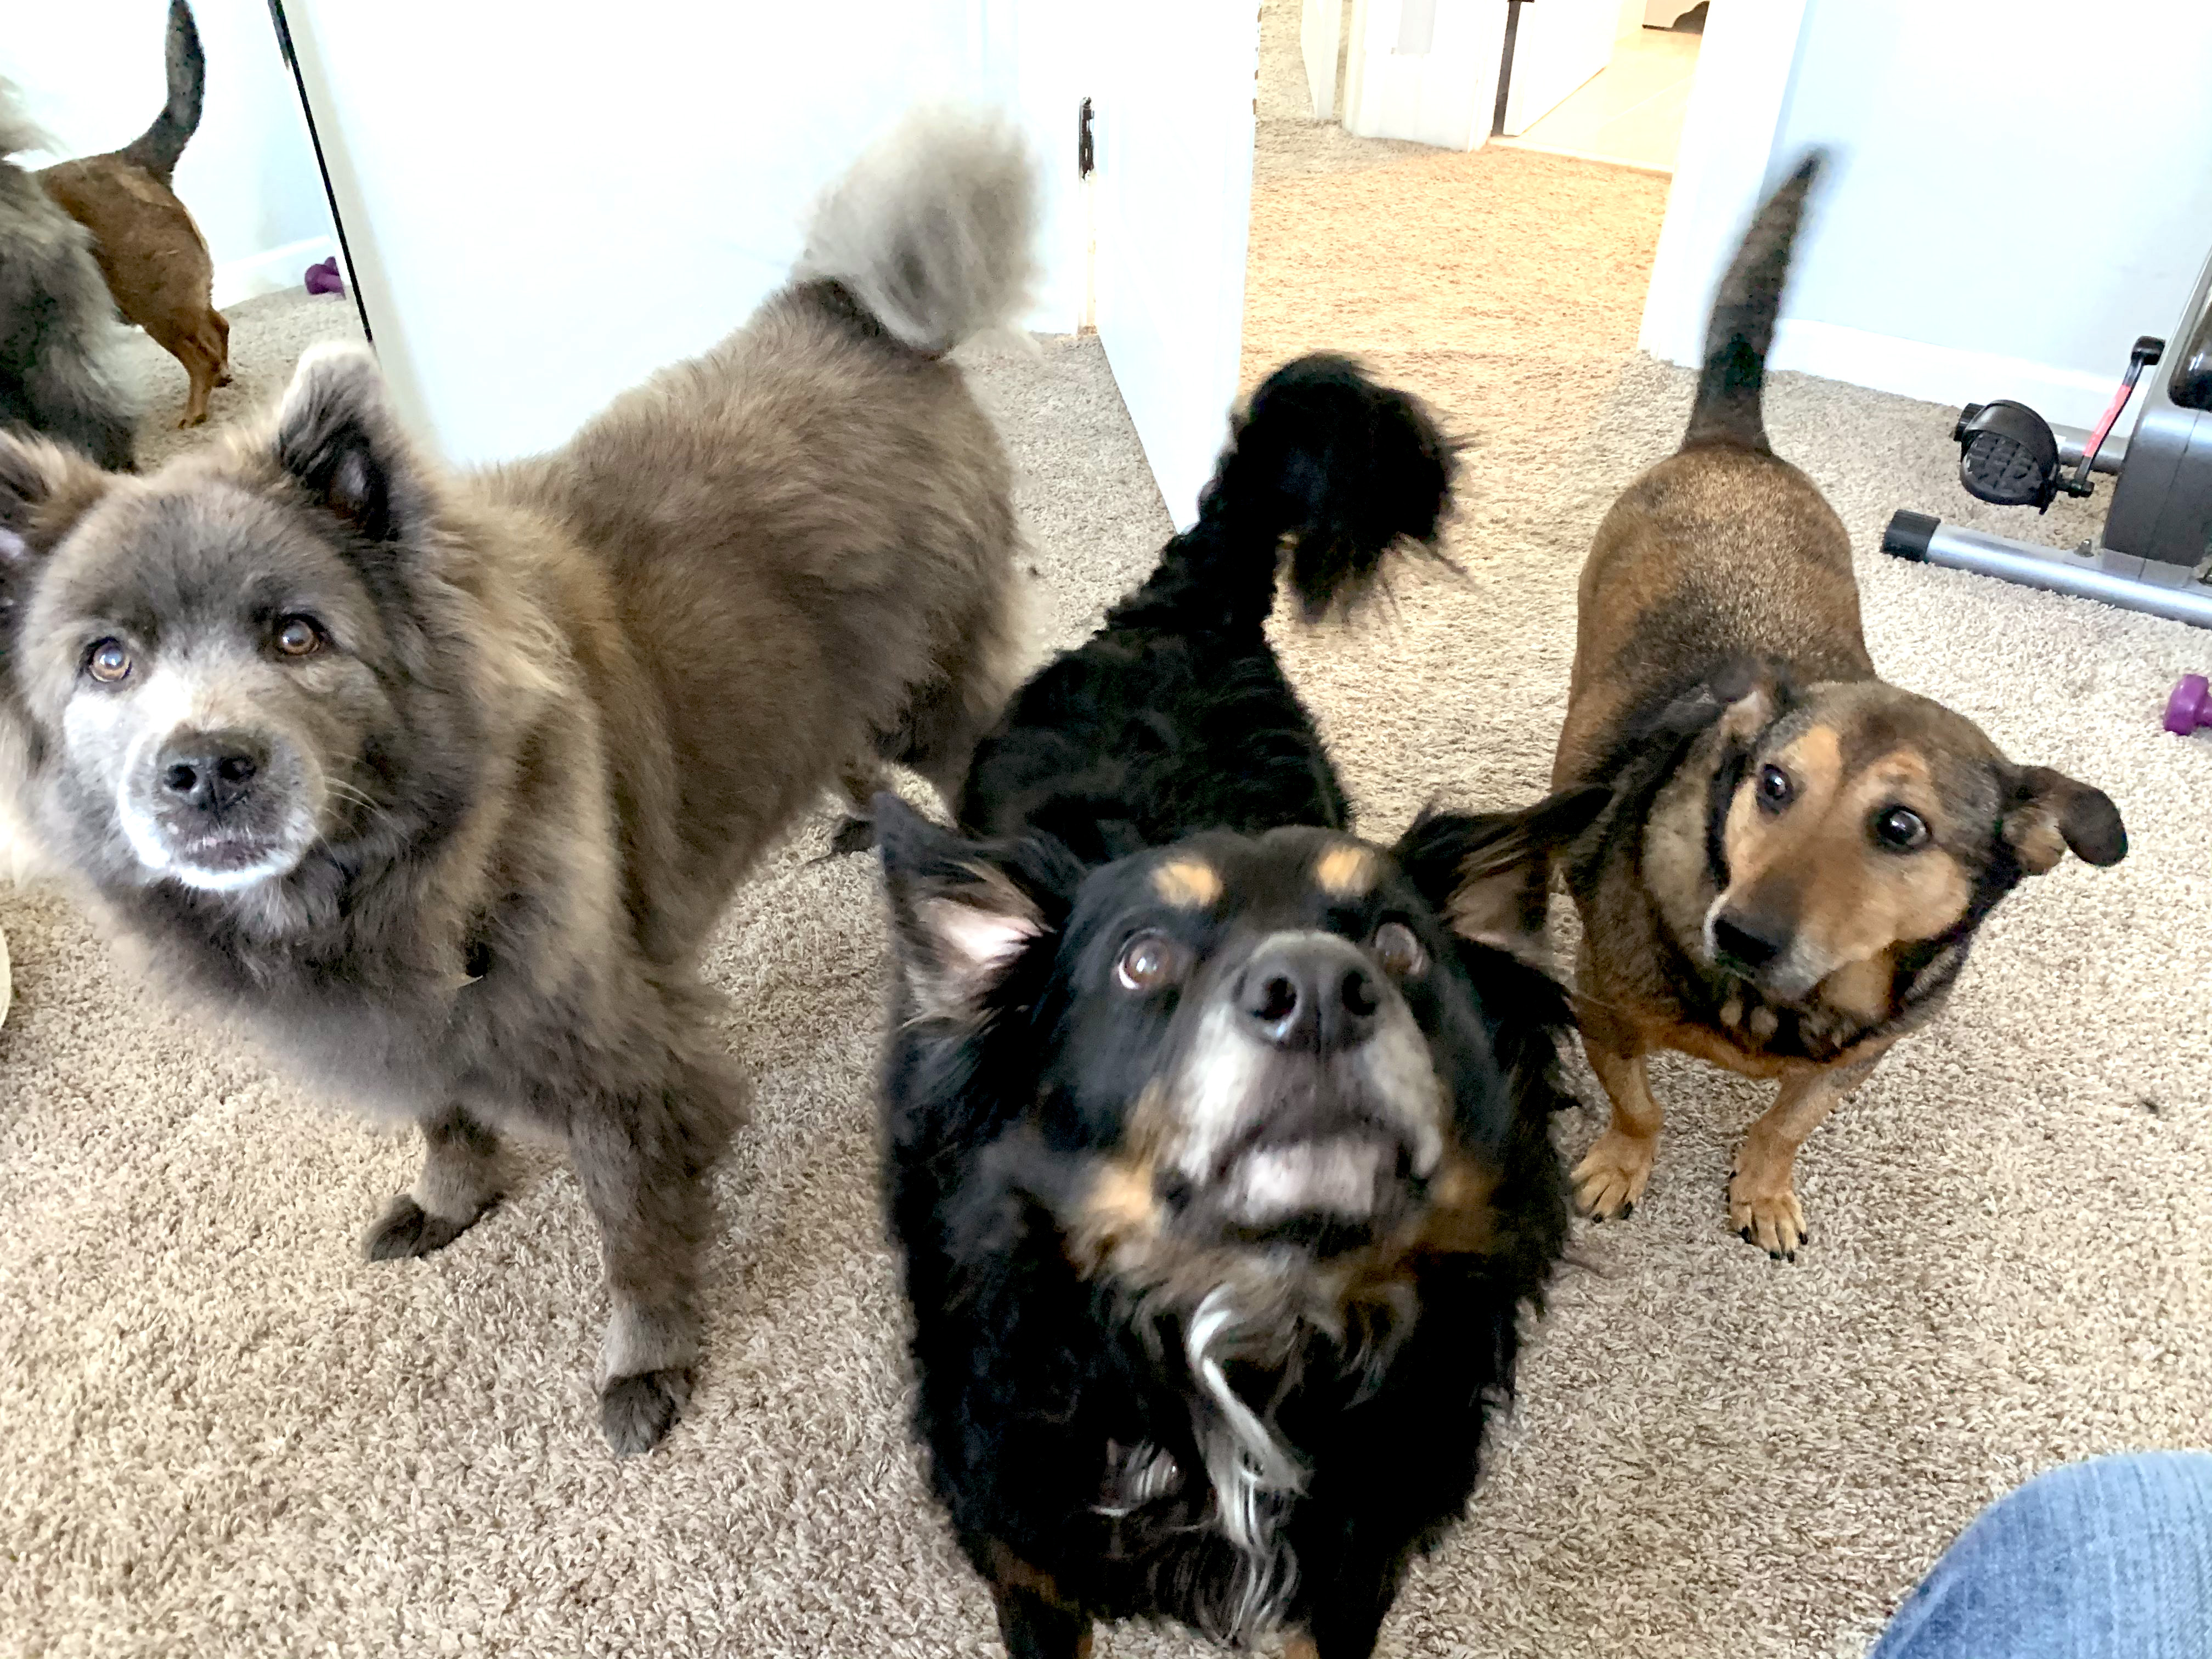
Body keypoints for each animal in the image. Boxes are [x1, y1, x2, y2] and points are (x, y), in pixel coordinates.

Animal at [41, 1, 229, 429]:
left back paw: (194, 412)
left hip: (154, 306)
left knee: (202, 357)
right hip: (172, 297)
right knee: (217, 327)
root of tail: (130, 158)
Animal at [1548, 162, 2132, 1265]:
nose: (1738, 932)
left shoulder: (1861, 1057)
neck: (1783, 1009)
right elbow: (1639, 1104)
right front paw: (1620, 1164)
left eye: (1900, 826)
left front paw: (1766, 1188)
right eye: (1774, 783)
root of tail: (1735, 442)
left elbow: (1787, 1121)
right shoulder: (1601, 1002)